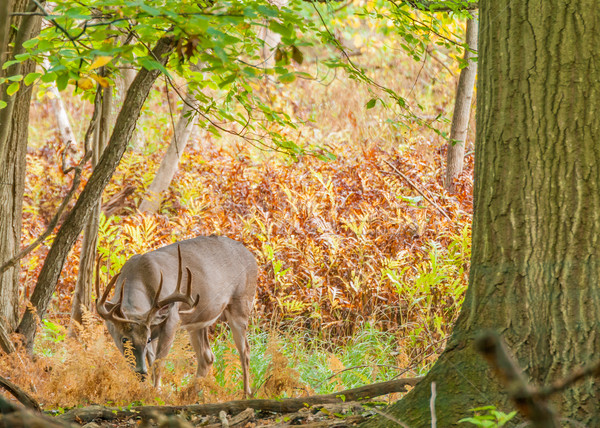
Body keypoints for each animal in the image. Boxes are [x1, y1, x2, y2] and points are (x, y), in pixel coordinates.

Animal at [95, 236, 256, 396]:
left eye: (147, 340)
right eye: (124, 339)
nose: (141, 373)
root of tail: (251, 256)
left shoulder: (172, 320)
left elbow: (159, 363)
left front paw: (156, 394)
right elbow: (152, 361)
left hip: (241, 305)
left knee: (245, 351)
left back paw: (246, 393)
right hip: (199, 321)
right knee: (207, 356)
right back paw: (193, 395)